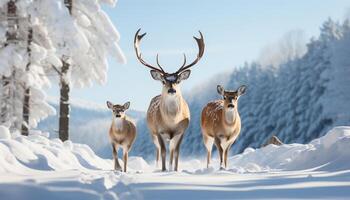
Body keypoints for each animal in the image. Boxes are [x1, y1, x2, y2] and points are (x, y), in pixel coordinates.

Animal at [134, 28, 205, 172]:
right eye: (163, 81)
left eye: (178, 80)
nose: (172, 90)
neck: (172, 122)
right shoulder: (158, 131)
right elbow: (163, 151)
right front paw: (163, 170)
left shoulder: (182, 131)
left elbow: (176, 152)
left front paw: (175, 170)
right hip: (152, 133)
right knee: (157, 150)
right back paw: (157, 167)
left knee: (171, 150)